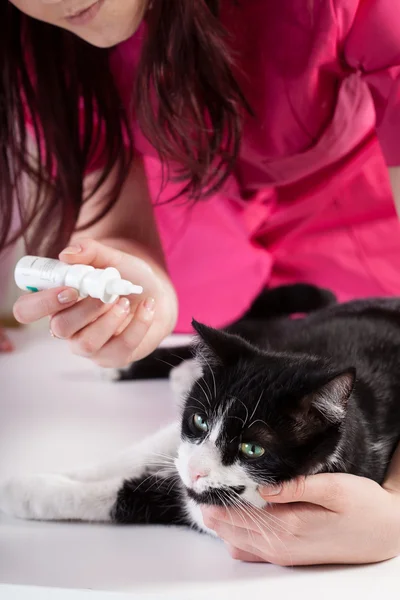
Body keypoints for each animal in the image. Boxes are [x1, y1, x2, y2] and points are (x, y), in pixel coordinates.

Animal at [2, 284, 400, 536]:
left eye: (252, 448)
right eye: (199, 420)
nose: (194, 472)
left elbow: (131, 494)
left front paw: (22, 491)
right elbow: (137, 454)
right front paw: (66, 473)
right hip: (282, 336)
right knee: (252, 328)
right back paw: (135, 366)